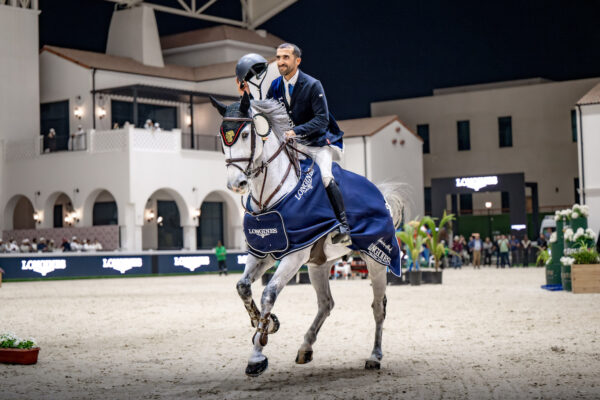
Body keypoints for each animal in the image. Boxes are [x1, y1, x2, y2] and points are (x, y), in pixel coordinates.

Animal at [209, 92, 406, 376]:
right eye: (222, 136)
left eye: (245, 134)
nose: (236, 184)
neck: (270, 198)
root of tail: (380, 194)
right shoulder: (264, 252)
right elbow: (243, 287)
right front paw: (266, 324)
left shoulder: (294, 256)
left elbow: (268, 294)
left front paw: (257, 353)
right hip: (318, 264)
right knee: (326, 303)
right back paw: (305, 347)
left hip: (376, 260)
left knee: (378, 307)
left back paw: (374, 356)